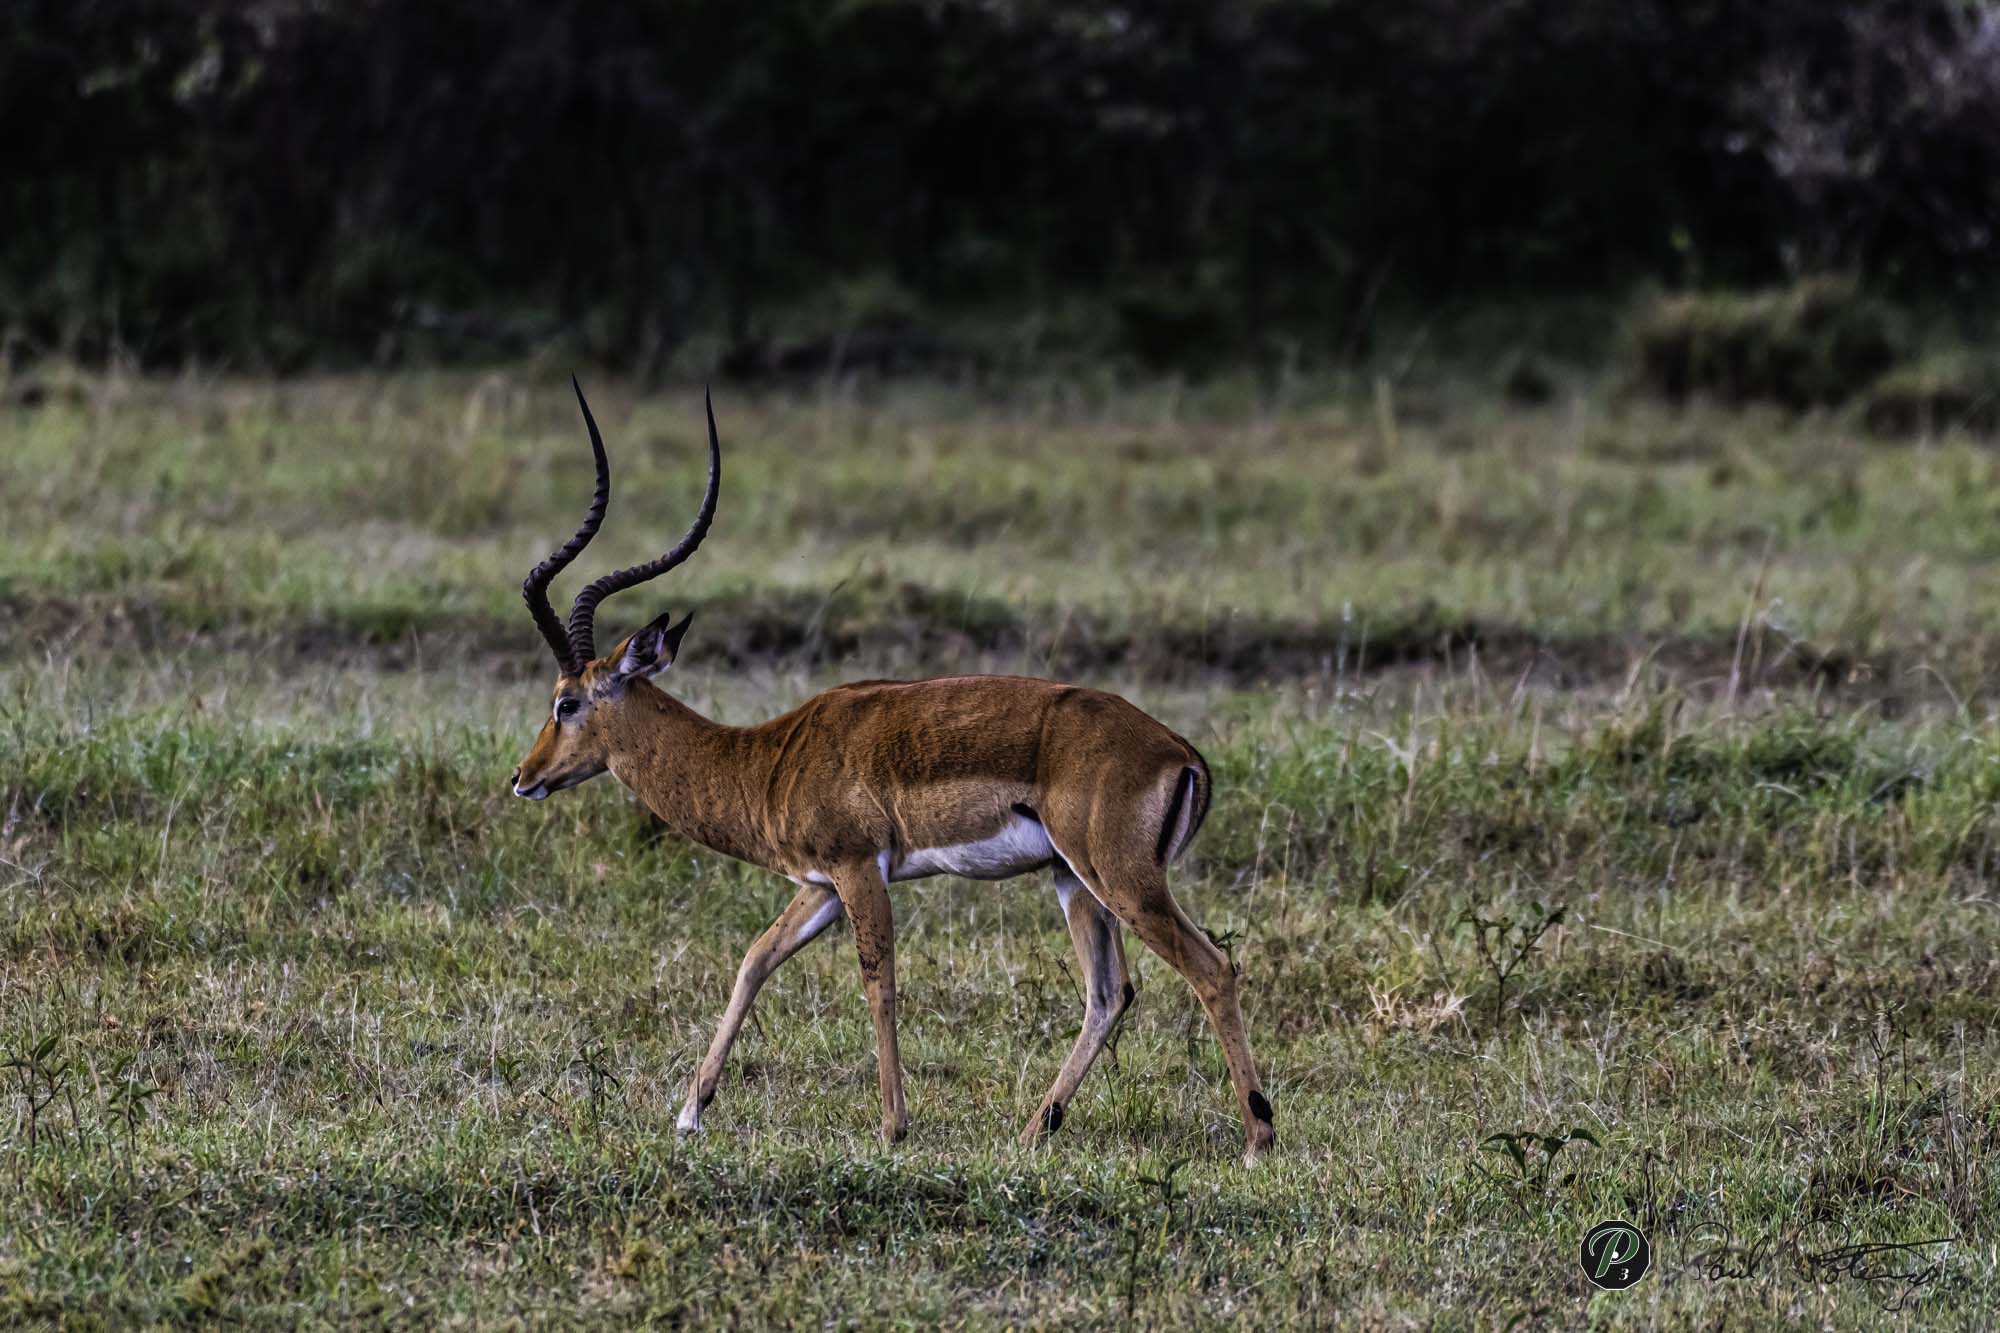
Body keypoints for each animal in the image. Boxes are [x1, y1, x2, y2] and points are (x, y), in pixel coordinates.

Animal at [510, 380, 1275, 1160]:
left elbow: (878, 981)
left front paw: (891, 1126)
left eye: (566, 701)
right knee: (1109, 991)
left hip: (1121, 878)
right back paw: (1034, 1129)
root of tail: (1179, 751)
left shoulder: (858, 869)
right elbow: (756, 957)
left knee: (1211, 967)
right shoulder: (817, 883)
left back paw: (1257, 1137)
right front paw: (691, 1112)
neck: (769, 757)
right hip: (1073, 878)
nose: (524, 775)